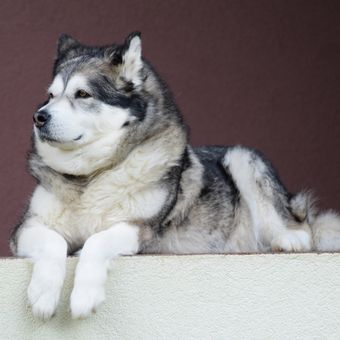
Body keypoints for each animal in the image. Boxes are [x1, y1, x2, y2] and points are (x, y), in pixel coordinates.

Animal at [9, 31, 340, 318]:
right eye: (51, 96)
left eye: (82, 94)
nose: (39, 117)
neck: (92, 176)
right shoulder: (25, 229)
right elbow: (54, 241)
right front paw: (43, 294)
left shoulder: (140, 229)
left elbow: (97, 241)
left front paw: (84, 296)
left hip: (243, 157)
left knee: (300, 227)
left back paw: (288, 239)